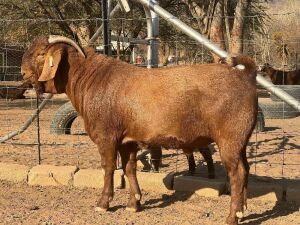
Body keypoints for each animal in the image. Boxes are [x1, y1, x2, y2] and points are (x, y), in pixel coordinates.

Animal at [21, 35, 256, 225]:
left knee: (237, 173)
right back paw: (243, 210)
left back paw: (232, 216)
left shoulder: (107, 136)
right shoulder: (128, 141)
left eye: (41, 54)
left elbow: (108, 167)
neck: (91, 79)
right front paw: (134, 204)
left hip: (230, 139)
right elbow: (129, 168)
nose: (22, 72)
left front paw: (103, 203)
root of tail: (244, 77)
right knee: (246, 169)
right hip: (241, 141)